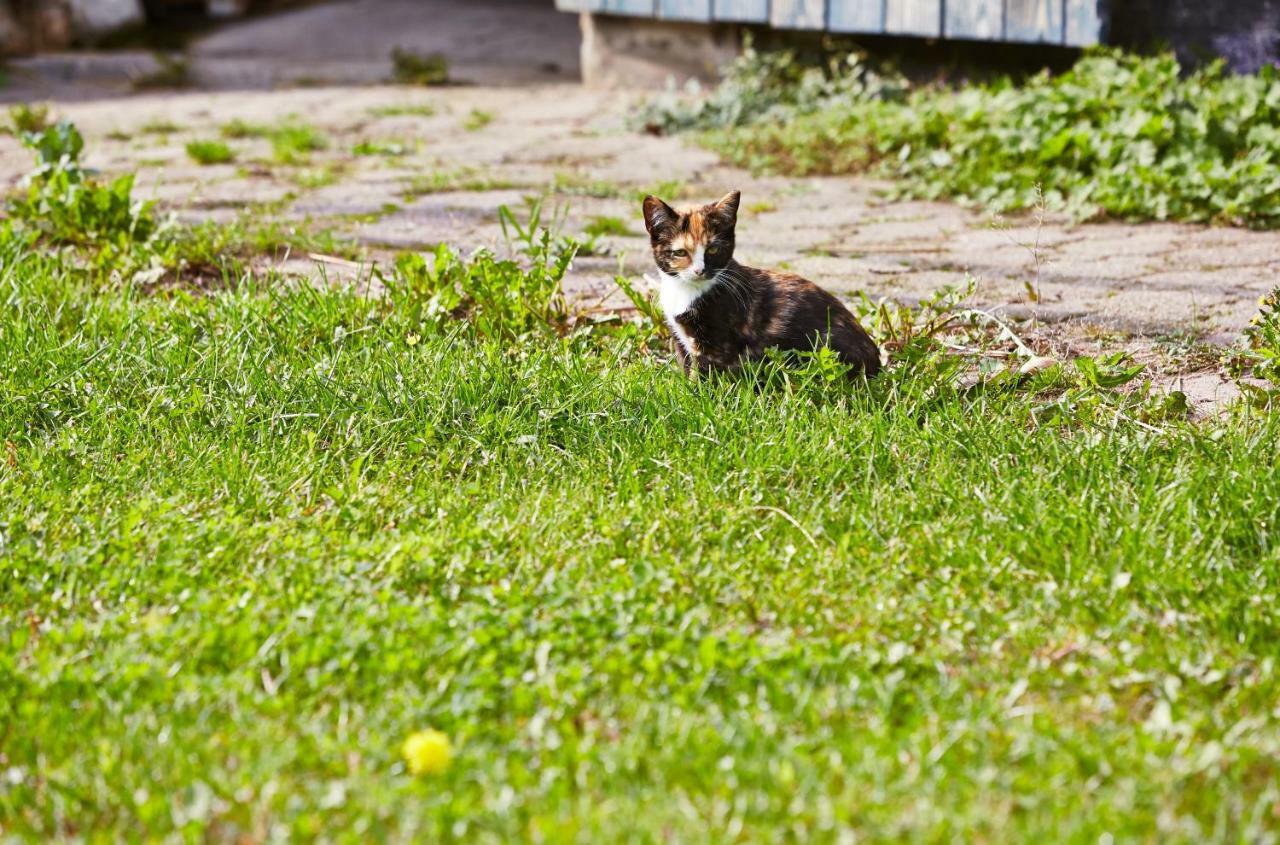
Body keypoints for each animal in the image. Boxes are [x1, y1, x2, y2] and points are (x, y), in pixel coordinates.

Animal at [640, 193, 880, 378]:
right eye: (680, 252)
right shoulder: (680, 338)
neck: (686, 291)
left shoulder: (716, 345)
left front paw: (697, 396)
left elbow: (703, 375)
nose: (700, 270)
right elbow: (686, 366)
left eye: (713, 250)